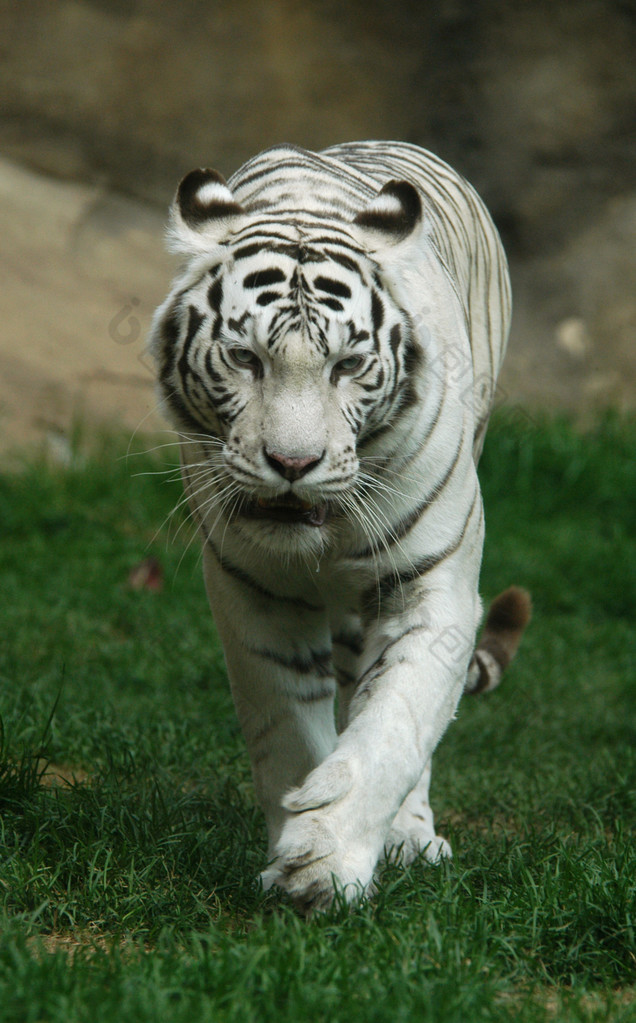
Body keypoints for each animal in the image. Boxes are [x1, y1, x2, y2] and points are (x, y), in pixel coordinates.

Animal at [149, 142, 531, 912]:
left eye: (348, 365)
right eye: (245, 358)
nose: (293, 463)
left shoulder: (431, 586)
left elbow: (396, 723)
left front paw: (327, 863)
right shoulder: (250, 589)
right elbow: (286, 723)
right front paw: (297, 852)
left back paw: (411, 837)